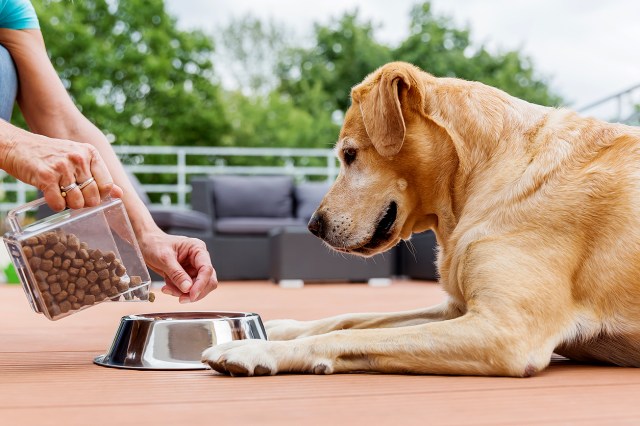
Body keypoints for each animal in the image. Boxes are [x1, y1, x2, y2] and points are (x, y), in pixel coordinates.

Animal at [202, 60, 640, 376]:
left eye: (349, 155)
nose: (313, 226)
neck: (482, 173)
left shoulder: (505, 330)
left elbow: (347, 337)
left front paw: (256, 347)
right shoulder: (456, 310)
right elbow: (350, 319)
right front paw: (278, 328)